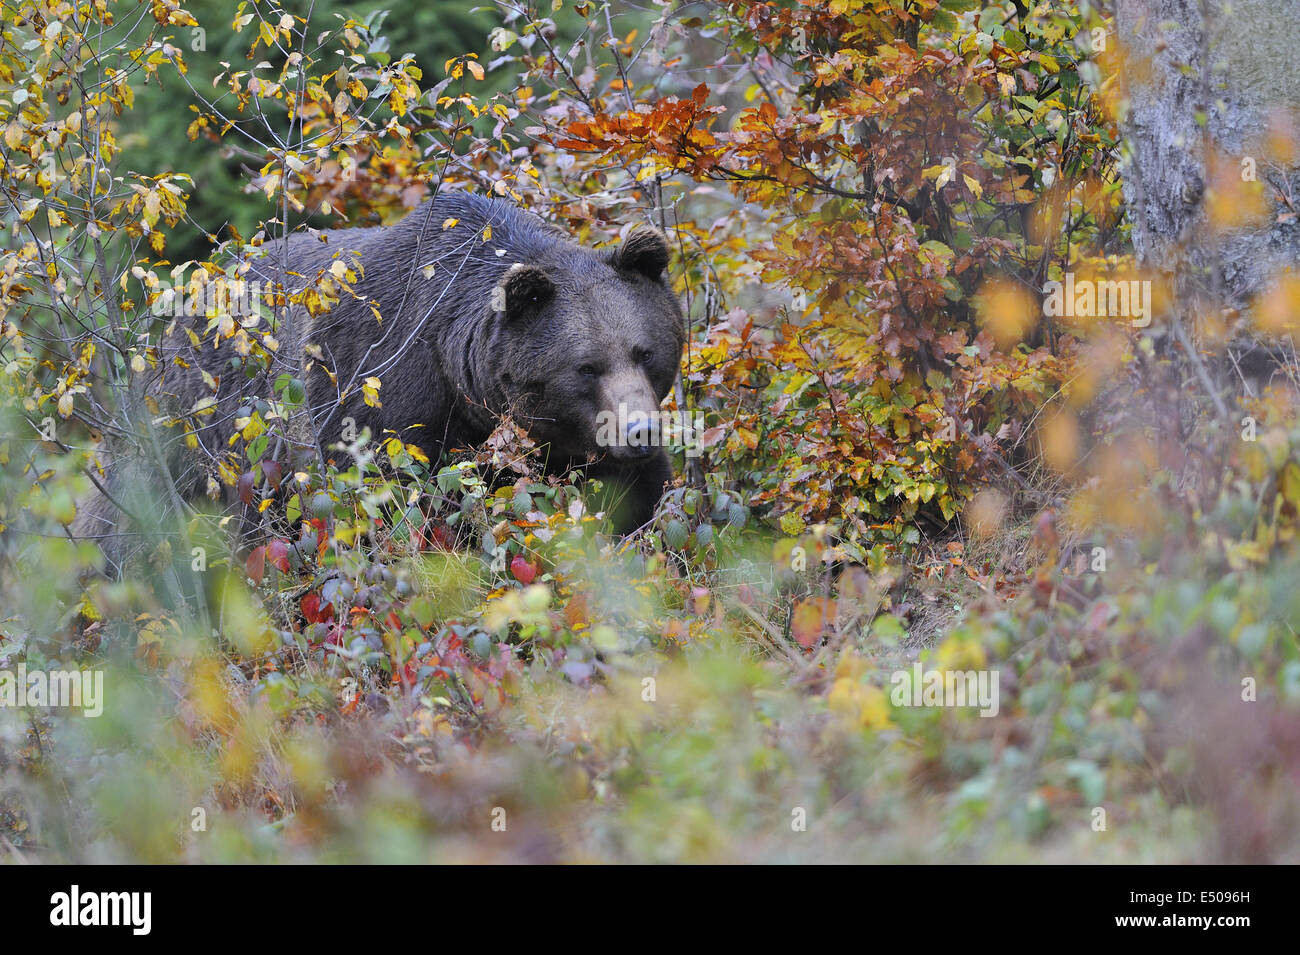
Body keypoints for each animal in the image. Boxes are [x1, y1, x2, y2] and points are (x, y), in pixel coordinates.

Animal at [76, 191, 686, 571]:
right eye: (586, 366)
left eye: (645, 351)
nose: (638, 429)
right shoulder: (378, 383)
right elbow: (383, 503)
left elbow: (632, 496)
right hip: (203, 425)